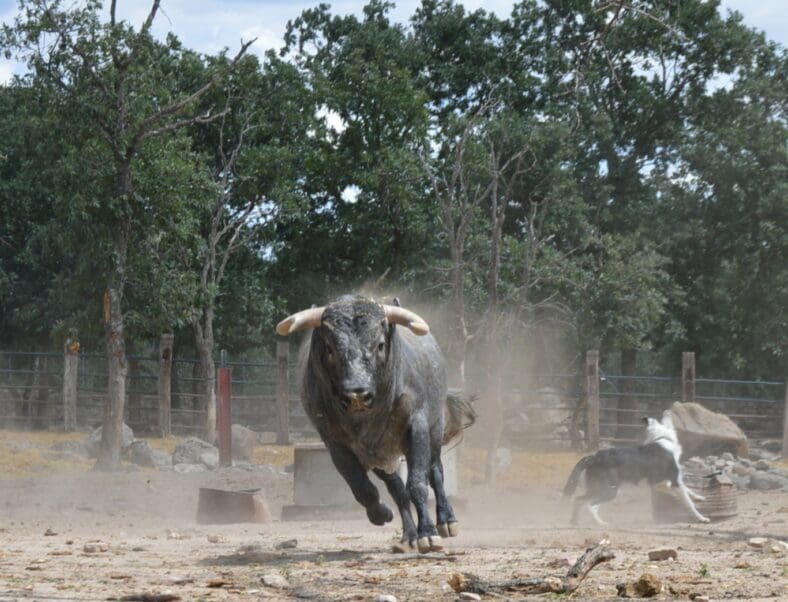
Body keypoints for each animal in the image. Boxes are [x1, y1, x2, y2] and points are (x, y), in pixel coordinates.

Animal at [278, 292, 474, 552]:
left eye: (380, 344)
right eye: (329, 348)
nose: (357, 395)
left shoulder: (417, 427)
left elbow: (418, 484)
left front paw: (429, 533)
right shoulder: (336, 443)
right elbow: (363, 488)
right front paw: (381, 514)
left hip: (434, 429)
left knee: (435, 472)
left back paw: (446, 520)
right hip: (382, 456)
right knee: (397, 490)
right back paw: (408, 536)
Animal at [564, 410, 712, 524]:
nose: (667, 411)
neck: (662, 438)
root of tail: (594, 457)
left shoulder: (669, 481)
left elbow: (688, 489)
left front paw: (699, 497)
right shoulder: (674, 480)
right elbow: (689, 503)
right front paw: (701, 518)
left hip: (601, 488)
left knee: (579, 501)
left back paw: (574, 521)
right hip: (609, 490)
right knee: (590, 505)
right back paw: (600, 523)